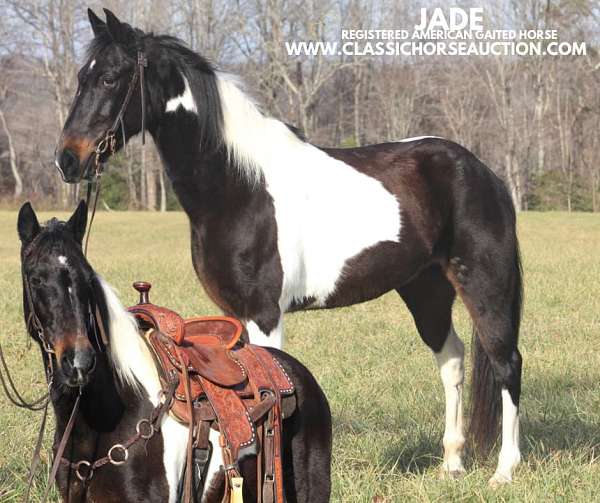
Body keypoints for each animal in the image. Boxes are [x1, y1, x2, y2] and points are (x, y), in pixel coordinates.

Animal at [56, 9, 524, 486]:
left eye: (110, 78)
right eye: (81, 77)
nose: (67, 160)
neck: (239, 185)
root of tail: (482, 171)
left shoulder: (264, 314)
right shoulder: (234, 315)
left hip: (484, 284)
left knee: (506, 363)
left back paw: (504, 470)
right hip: (426, 289)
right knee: (452, 360)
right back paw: (452, 463)